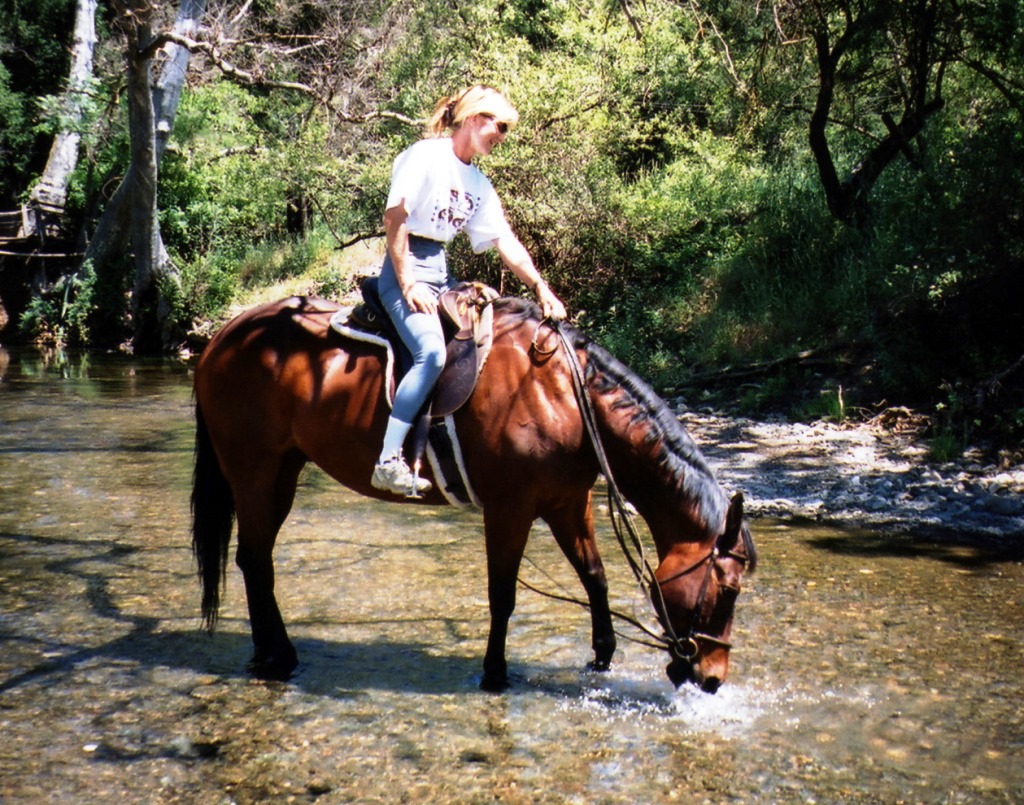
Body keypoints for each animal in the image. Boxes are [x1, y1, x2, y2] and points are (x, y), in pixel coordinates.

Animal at [192, 294, 757, 688]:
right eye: (727, 591)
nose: (712, 678)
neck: (564, 397)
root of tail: (221, 337)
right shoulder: (510, 509)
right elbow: (502, 594)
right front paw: (494, 672)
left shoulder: (567, 503)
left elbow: (594, 577)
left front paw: (602, 656)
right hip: (254, 470)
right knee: (254, 560)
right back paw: (278, 657)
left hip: (282, 470)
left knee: (255, 558)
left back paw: (272, 652)